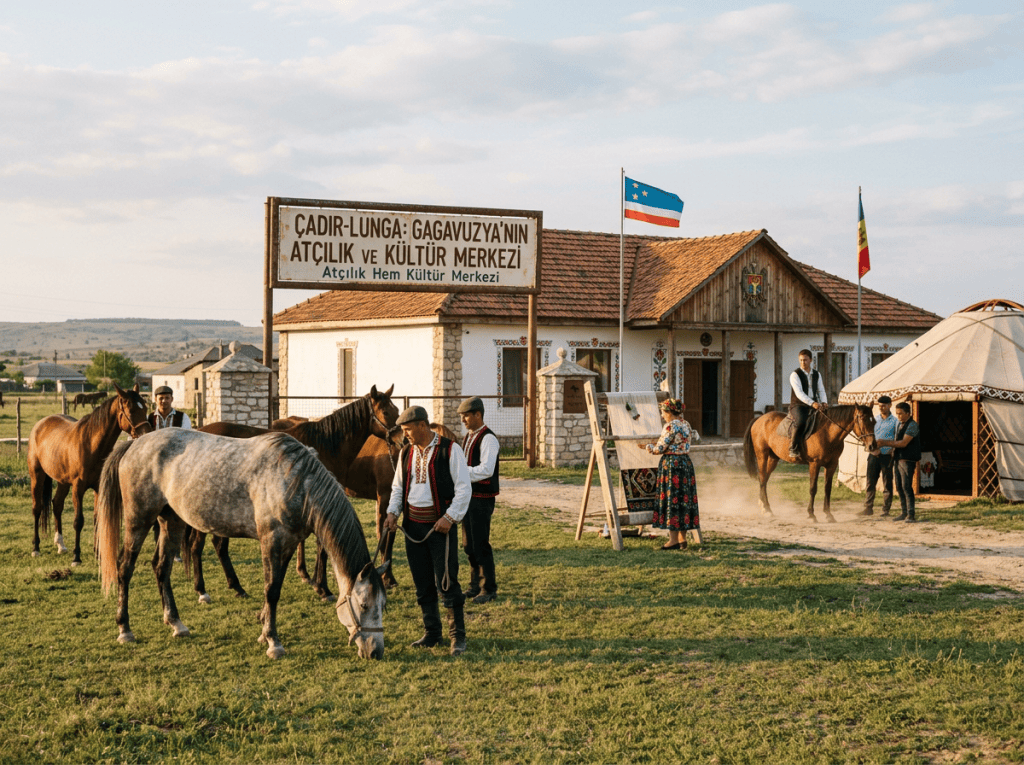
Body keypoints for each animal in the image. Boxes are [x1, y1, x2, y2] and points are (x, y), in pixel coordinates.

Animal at [28, 384, 152, 565]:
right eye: (130, 409)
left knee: (57, 505)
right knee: (37, 509)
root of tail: (40, 424)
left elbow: (96, 518)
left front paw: (98, 553)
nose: (147, 434)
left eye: (145, 407)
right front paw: (77, 556)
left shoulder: (98, 487)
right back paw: (36, 548)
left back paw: (60, 545)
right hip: (37, 476)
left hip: (63, 482)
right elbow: (78, 521)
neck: (91, 444)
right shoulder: (78, 488)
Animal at [94, 429, 389, 660]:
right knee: (125, 568)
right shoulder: (272, 541)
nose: (375, 651)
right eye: (363, 605)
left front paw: (263, 631)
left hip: (171, 521)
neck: (296, 481)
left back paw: (176, 623)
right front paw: (273, 642)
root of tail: (134, 443)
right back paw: (125, 629)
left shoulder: (288, 544)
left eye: (383, 605)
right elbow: (272, 591)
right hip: (138, 520)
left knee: (161, 568)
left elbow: (274, 587)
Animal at [191, 385, 398, 602]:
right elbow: (322, 548)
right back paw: (202, 590)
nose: (401, 438)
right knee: (198, 546)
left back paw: (236, 587)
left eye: (397, 411)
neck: (326, 447)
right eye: (385, 412)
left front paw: (316, 583)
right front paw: (323, 588)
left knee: (217, 545)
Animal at [743, 404, 876, 523]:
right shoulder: (814, 464)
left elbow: (827, 489)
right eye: (863, 419)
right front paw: (811, 515)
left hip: (773, 458)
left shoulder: (831, 465)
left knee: (764, 480)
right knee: (762, 479)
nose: (872, 445)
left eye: (874, 421)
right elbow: (813, 489)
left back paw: (764, 506)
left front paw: (828, 515)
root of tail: (759, 419)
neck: (827, 433)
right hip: (762, 456)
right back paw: (767, 509)